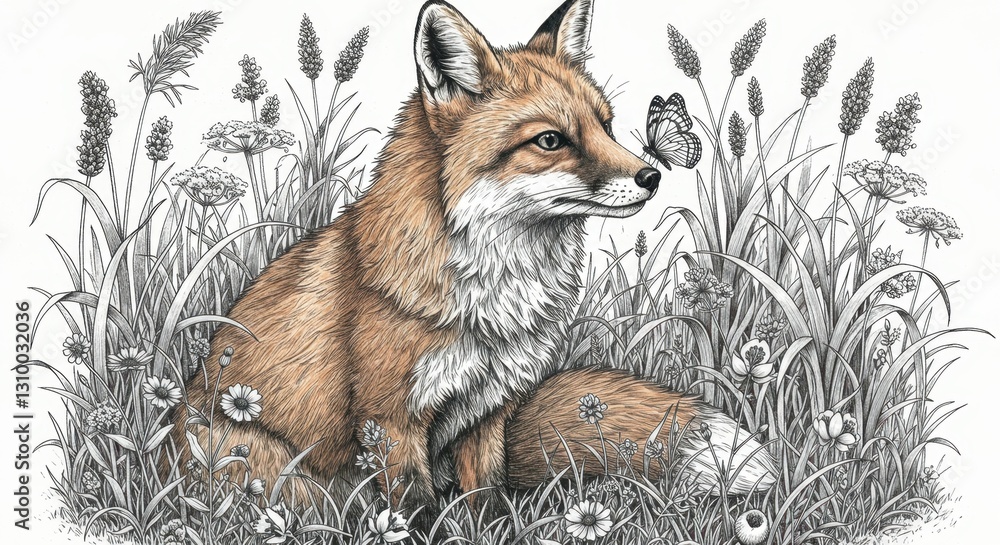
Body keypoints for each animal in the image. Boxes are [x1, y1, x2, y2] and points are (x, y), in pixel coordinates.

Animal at [176, 0, 776, 515]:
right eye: (551, 140)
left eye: (605, 125)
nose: (652, 177)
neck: (495, 296)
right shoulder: (391, 421)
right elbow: (413, 510)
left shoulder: (490, 408)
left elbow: (485, 495)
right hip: (266, 465)